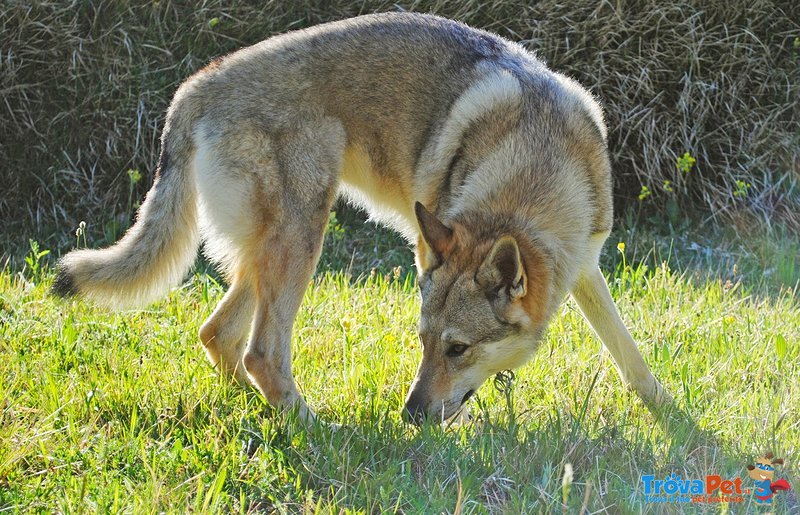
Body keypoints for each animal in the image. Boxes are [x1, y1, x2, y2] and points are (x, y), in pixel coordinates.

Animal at [51, 12, 676, 426]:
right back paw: (314, 428)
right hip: (304, 236)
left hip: (269, 253)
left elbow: (628, 352)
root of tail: (194, 88)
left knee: (217, 333)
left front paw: (671, 415)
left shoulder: (584, 266)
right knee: (261, 352)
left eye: (456, 349)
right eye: (423, 342)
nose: (411, 415)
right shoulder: (428, 249)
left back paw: (256, 411)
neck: (536, 162)